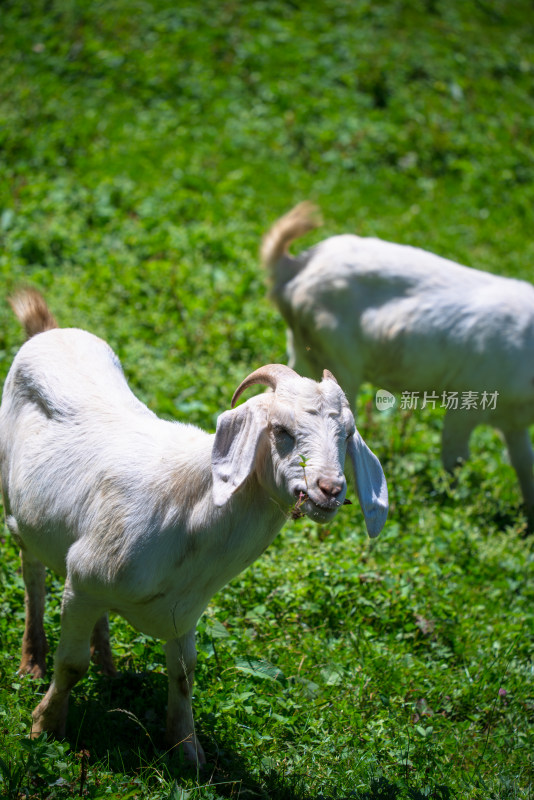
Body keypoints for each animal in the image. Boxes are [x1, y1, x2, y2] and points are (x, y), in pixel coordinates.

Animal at [0, 288, 388, 764]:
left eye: (346, 436)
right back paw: (32, 659)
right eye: (280, 429)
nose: (330, 489)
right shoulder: (86, 583)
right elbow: (71, 665)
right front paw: (46, 726)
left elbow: (184, 674)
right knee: (32, 574)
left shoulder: (179, 610)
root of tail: (48, 331)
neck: (190, 513)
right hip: (16, 509)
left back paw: (108, 665)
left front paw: (187, 750)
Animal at [262, 203, 534, 520]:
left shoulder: (513, 421)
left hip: (303, 350)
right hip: (338, 359)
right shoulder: (469, 400)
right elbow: (456, 458)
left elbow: (524, 463)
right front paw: (453, 505)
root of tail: (294, 265)